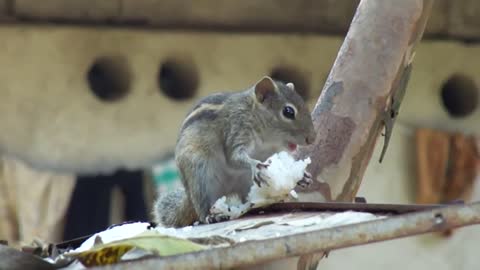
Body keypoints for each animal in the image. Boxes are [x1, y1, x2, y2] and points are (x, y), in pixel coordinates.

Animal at [154, 76, 316, 228]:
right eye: (288, 112)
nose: (312, 139)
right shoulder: (236, 129)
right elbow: (233, 158)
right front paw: (255, 165)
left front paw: (303, 176)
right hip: (200, 178)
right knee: (203, 209)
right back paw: (211, 216)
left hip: (245, 183)